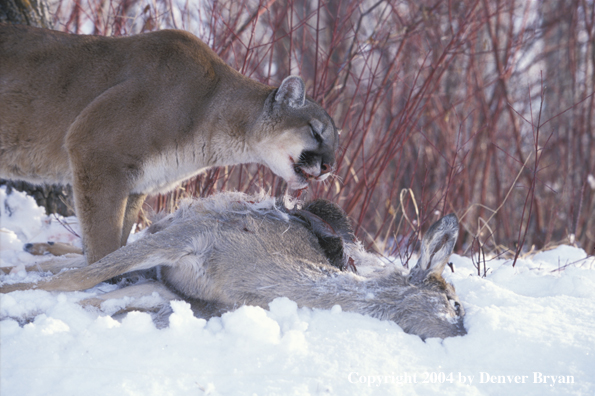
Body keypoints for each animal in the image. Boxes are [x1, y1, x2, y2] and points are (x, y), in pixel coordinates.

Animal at [0, 24, 340, 266]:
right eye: (316, 132)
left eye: (335, 144)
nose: (328, 166)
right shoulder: (95, 150)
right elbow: (103, 243)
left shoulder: (138, 183)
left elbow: (120, 241)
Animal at [0, 193, 466, 338]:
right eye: (455, 302)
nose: (463, 332)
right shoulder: (193, 235)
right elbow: (78, 280)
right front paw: (8, 296)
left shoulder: (184, 298)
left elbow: (88, 299)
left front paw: (23, 316)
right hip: (178, 222)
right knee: (97, 257)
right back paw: (30, 251)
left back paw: (35, 247)